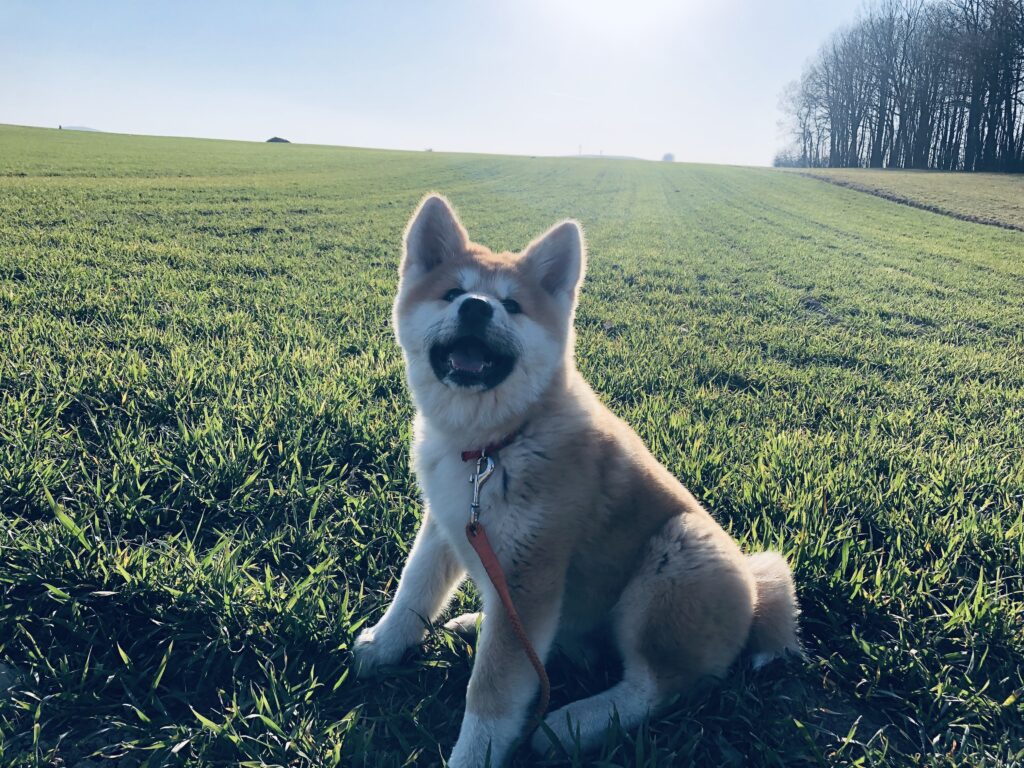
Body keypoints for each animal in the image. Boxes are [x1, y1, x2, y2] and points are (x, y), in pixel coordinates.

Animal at [356, 195, 802, 765]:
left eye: (512, 306)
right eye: (453, 293)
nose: (476, 307)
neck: (492, 448)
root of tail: (756, 598)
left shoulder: (530, 573)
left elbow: (492, 693)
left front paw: (472, 755)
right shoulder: (448, 525)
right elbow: (414, 591)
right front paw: (384, 645)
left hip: (677, 550)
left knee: (658, 687)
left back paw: (575, 724)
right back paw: (476, 625)